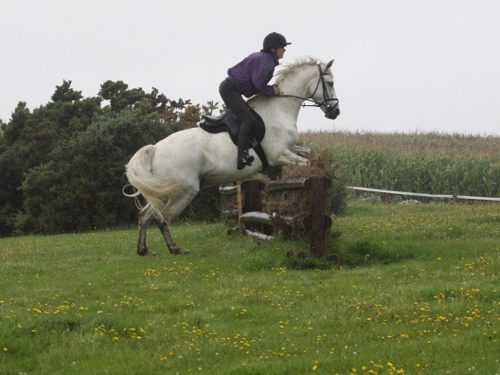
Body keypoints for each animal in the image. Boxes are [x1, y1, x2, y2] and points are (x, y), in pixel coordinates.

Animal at [126, 58, 340, 256]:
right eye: (330, 83)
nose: (335, 112)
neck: (280, 108)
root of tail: (155, 149)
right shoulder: (279, 155)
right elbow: (305, 162)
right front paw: (316, 173)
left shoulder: (288, 149)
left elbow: (308, 153)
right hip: (183, 191)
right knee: (163, 218)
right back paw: (175, 249)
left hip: (163, 191)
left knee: (145, 215)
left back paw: (143, 250)